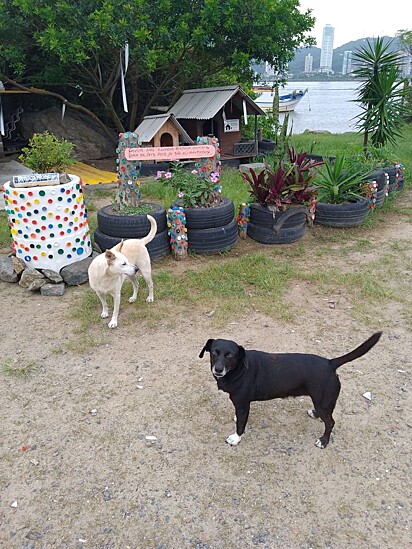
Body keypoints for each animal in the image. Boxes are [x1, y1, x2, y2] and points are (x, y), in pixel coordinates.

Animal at [198, 332, 382, 448]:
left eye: (230, 355)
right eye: (214, 352)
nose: (218, 369)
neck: (239, 368)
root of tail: (330, 363)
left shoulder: (243, 404)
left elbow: (241, 426)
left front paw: (235, 439)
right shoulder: (241, 405)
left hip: (323, 402)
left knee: (330, 422)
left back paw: (323, 441)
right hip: (322, 402)